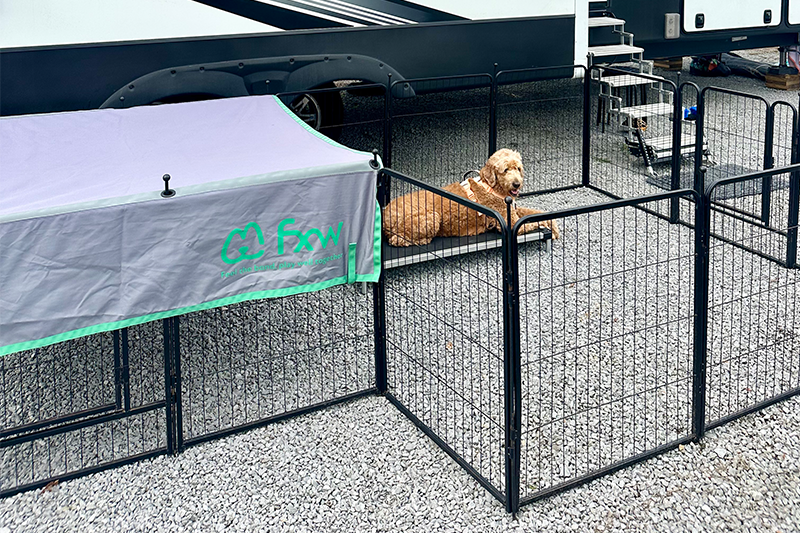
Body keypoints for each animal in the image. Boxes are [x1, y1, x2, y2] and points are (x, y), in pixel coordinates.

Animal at [382, 149, 560, 247]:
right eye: (505, 170)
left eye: (518, 168)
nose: (517, 184)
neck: (492, 187)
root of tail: (384, 215)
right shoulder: (512, 224)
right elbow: (532, 222)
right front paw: (549, 228)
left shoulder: (514, 211)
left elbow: (534, 212)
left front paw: (553, 225)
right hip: (432, 217)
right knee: (396, 240)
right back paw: (423, 240)